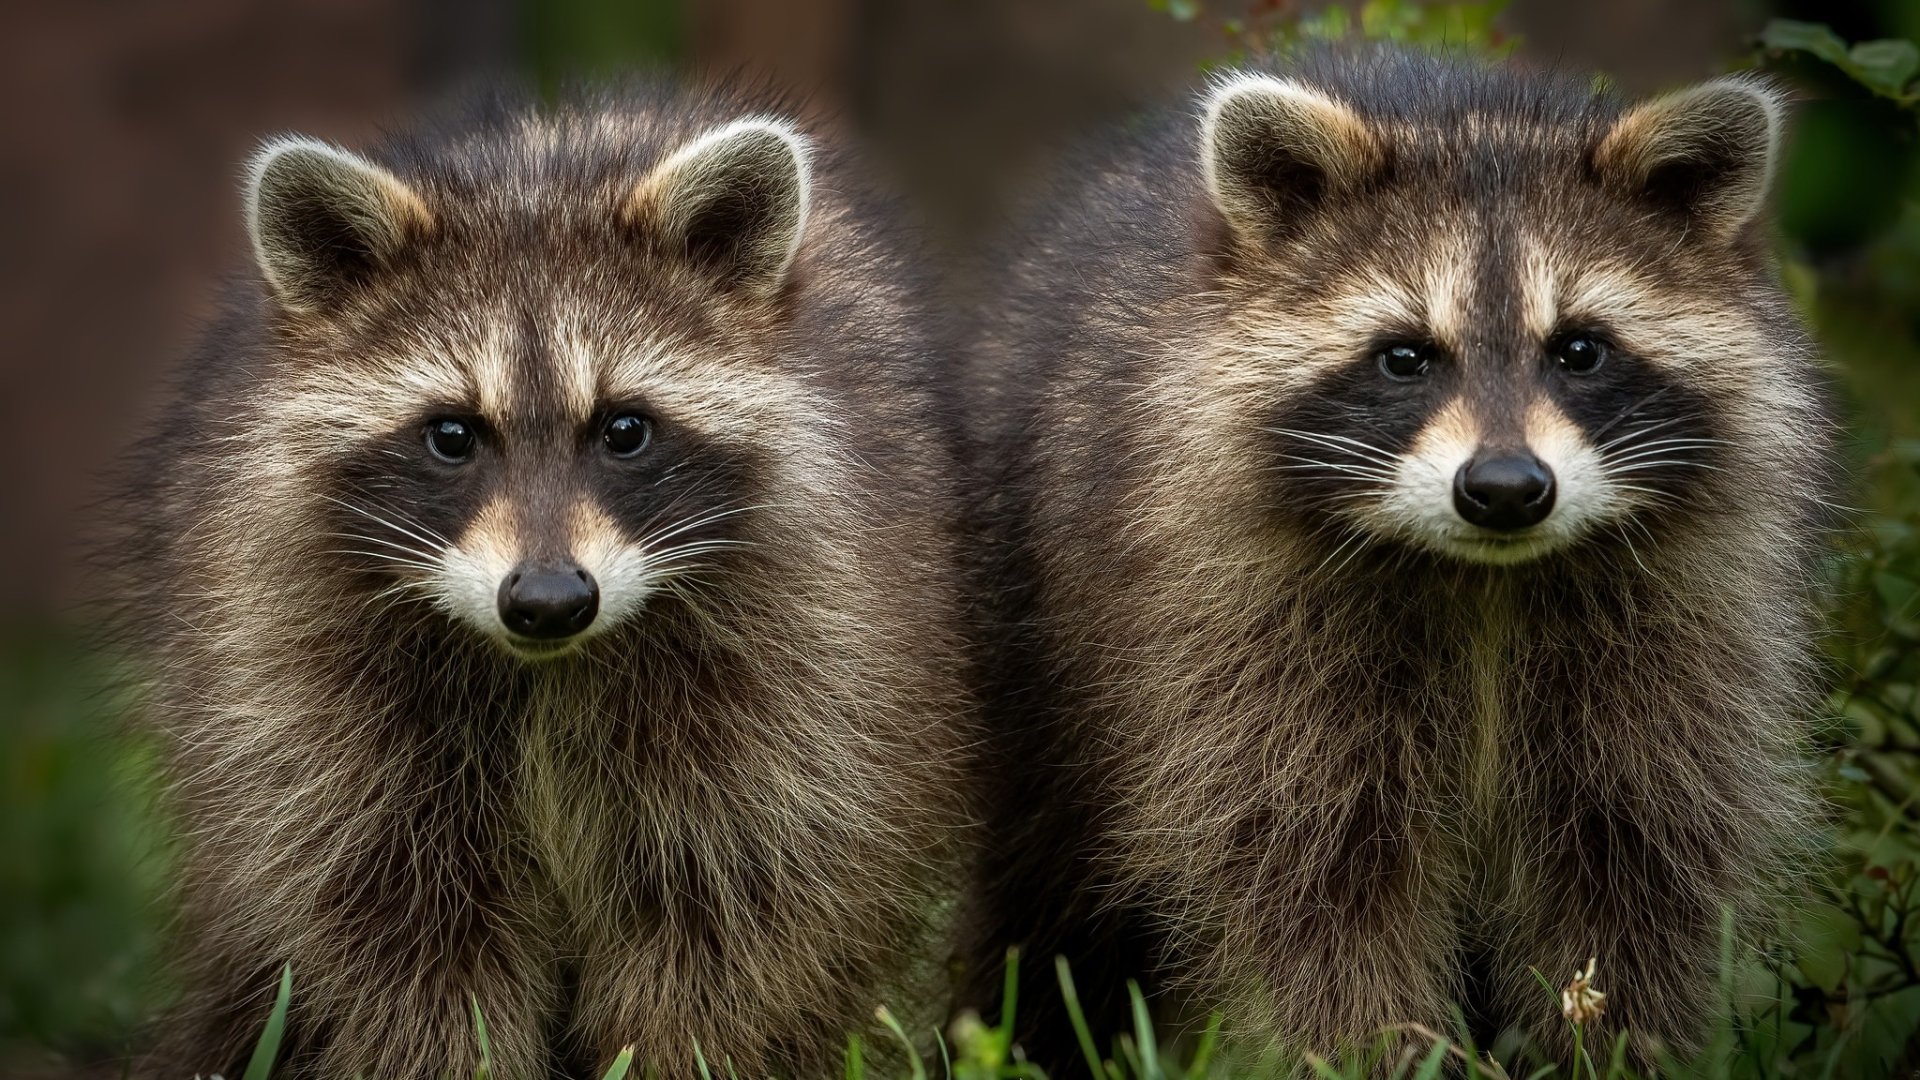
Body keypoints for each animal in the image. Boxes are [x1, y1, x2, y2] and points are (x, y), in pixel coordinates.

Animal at [111, 83, 973, 1080]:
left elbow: (740, 912)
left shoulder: (811, 660)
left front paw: (675, 1055)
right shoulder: (301, 678)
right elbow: (391, 924)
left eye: (625, 429)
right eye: (452, 435)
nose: (550, 602)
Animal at [964, 51, 1838, 1067]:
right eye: (1406, 357)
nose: (1506, 489)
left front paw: (1607, 1047)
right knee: (1047, 897)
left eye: (1579, 349)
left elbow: (1635, 856)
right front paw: (1376, 1052)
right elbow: (1318, 876)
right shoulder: (1239, 640)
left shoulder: (1679, 639)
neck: (1489, 578)